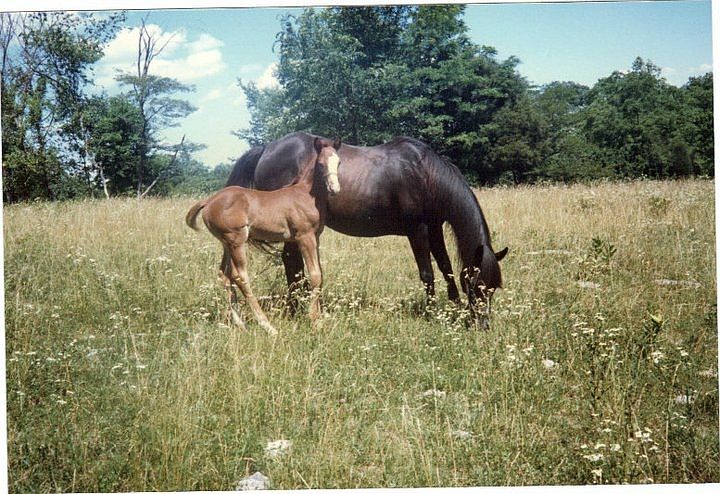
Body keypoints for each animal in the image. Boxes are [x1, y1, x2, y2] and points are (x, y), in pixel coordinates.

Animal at [186, 137, 342, 335]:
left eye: (339, 162)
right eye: (321, 164)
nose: (335, 189)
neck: (305, 194)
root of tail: (209, 201)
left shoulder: (316, 237)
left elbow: (319, 274)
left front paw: (320, 317)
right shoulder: (304, 237)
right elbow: (315, 275)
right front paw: (315, 321)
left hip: (226, 243)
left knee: (224, 274)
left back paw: (240, 324)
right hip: (236, 241)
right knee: (239, 276)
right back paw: (267, 326)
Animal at [227, 132, 507, 327]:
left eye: (494, 288)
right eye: (478, 285)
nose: (483, 325)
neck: (424, 173)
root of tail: (266, 149)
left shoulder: (435, 228)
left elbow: (446, 268)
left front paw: (453, 307)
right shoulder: (417, 230)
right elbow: (427, 273)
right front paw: (431, 312)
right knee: (291, 261)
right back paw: (298, 307)